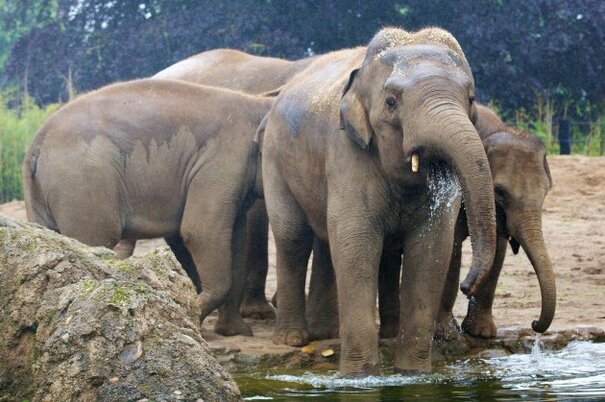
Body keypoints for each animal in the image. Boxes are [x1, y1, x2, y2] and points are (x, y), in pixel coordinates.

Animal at [23, 78, 272, 336]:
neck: (258, 105)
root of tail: (36, 145)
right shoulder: (221, 162)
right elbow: (199, 232)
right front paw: (189, 316)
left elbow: (237, 239)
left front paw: (236, 331)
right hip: (82, 183)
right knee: (95, 239)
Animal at [260, 26, 496, 376]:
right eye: (391, 102)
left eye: (470, 99)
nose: (468, 285)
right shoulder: (347, 150)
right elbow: (355, 243)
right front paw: (360, 376)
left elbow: (431, 250)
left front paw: (413, 374)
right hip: (274, 159)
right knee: (293, 237)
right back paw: (292, 339)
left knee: (328, 241)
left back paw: (328, 333)